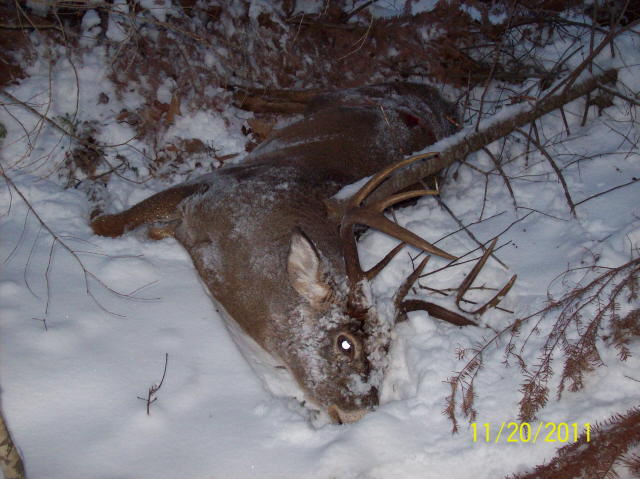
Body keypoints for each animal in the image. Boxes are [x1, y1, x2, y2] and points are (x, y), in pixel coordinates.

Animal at [92, 84, 498, 426]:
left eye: (386, 352)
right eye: (346, 343)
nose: (357, 414)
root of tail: (442, 100)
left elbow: (152, 228)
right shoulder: (213, 182)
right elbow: (118, 222)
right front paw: (94, 218)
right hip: (351, 94)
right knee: (314, 92)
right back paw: (242, 93)